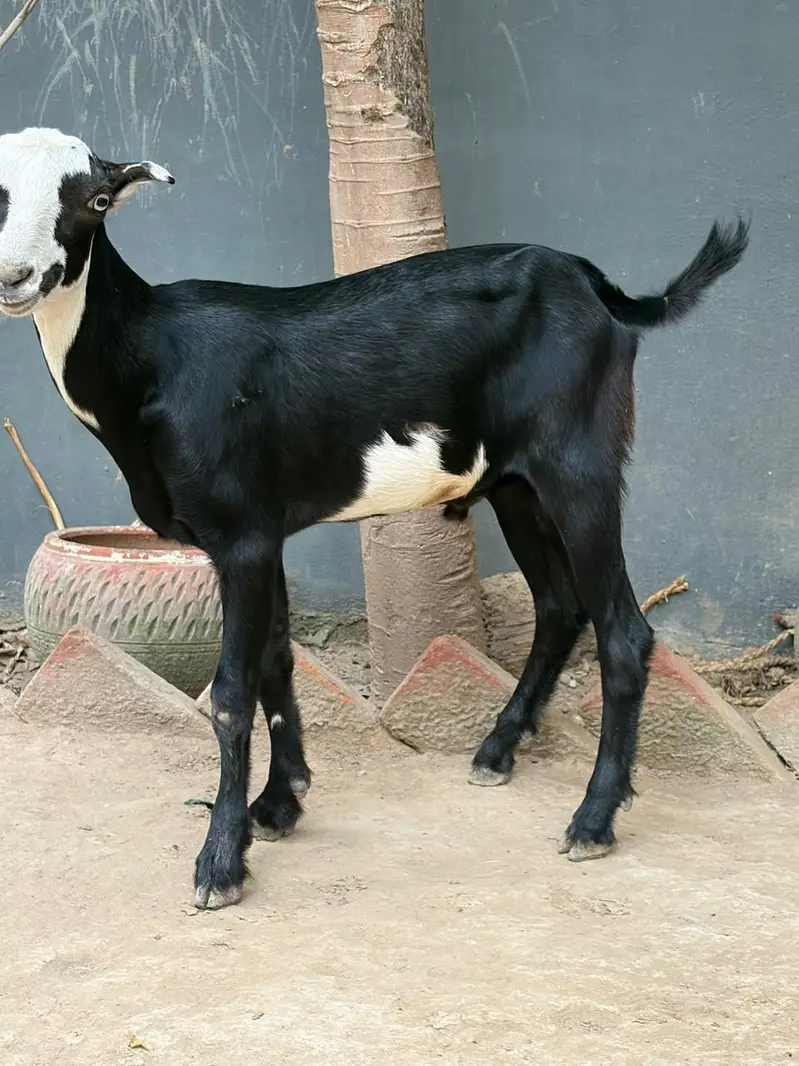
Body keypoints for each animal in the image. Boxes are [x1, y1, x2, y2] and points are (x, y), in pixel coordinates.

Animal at [0, 127, 749, 909]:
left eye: (95, 200)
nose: (16, 277)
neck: (152, 358)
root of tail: (597, 287)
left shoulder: (240, 536)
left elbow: (232, 692)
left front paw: (220, 862)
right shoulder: (267, 533)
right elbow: (275, 661)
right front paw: (279, 804)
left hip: (580, 464)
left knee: (624, 632)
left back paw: (593, 819)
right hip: (515, 484)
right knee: (559, 605)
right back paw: (497, 749)